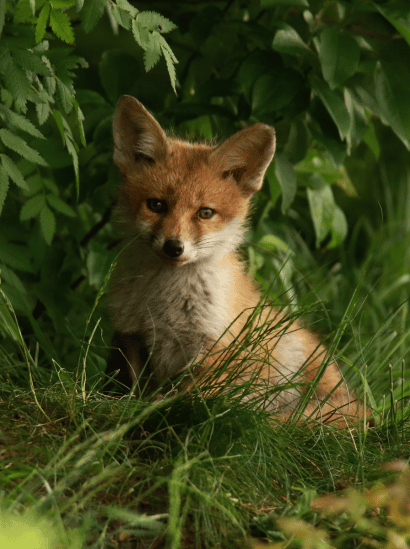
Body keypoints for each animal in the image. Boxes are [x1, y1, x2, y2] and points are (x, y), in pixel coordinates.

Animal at [108, 94, 362, 422]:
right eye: (156, 205)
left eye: (205, 212)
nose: (174, 247)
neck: (163, 303)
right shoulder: (131, 334)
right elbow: (132, 388)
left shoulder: (215, 346)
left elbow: (188, 398)